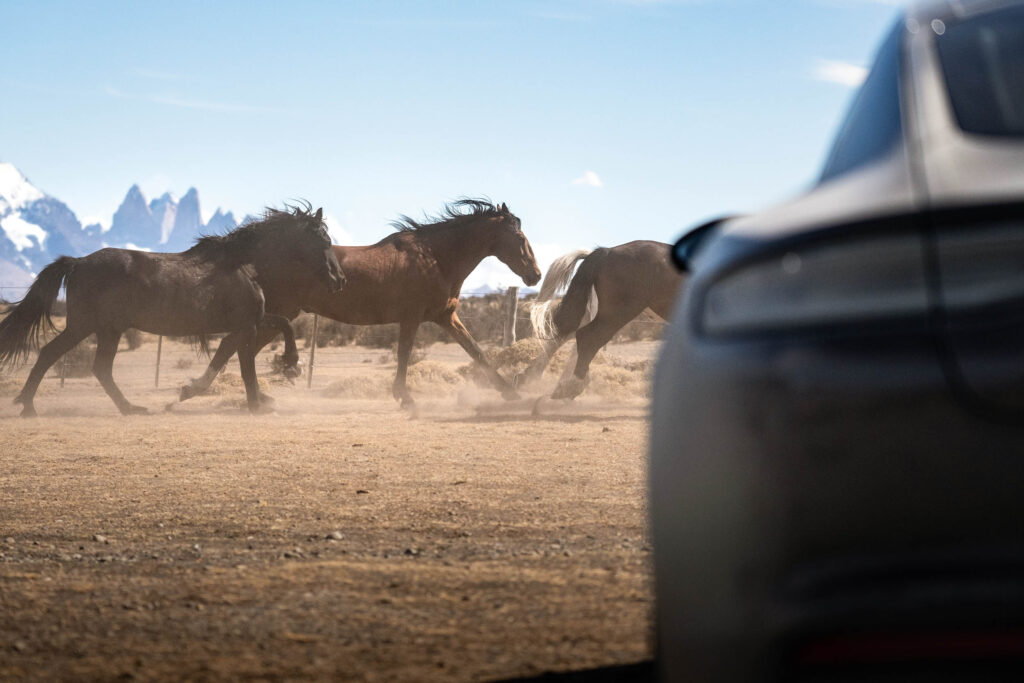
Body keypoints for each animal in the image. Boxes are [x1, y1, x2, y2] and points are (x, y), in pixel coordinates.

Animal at [0, 202, 344, 417]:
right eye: (323, 241)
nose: (339, 279)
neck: (244, 266)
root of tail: (78, 262)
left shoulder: (250, 322)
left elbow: (276, 328)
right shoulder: (247, 325)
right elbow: (245, 363)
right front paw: (268, 391)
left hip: (106, 329)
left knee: (96, 367)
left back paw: (127, 408)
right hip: (88, 326)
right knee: (56, 356)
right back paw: (31, 407)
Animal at [176, 197, 544, 405]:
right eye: (519, 236)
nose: (535, 275)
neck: (435, 258)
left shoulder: (445, 317)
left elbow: (477, 352)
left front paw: (511, 392)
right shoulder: (412, 318)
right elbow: (404, 355)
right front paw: (404, 397)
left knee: (239, 348)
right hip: (278, 312)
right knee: (234, 346)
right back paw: (201, 390)